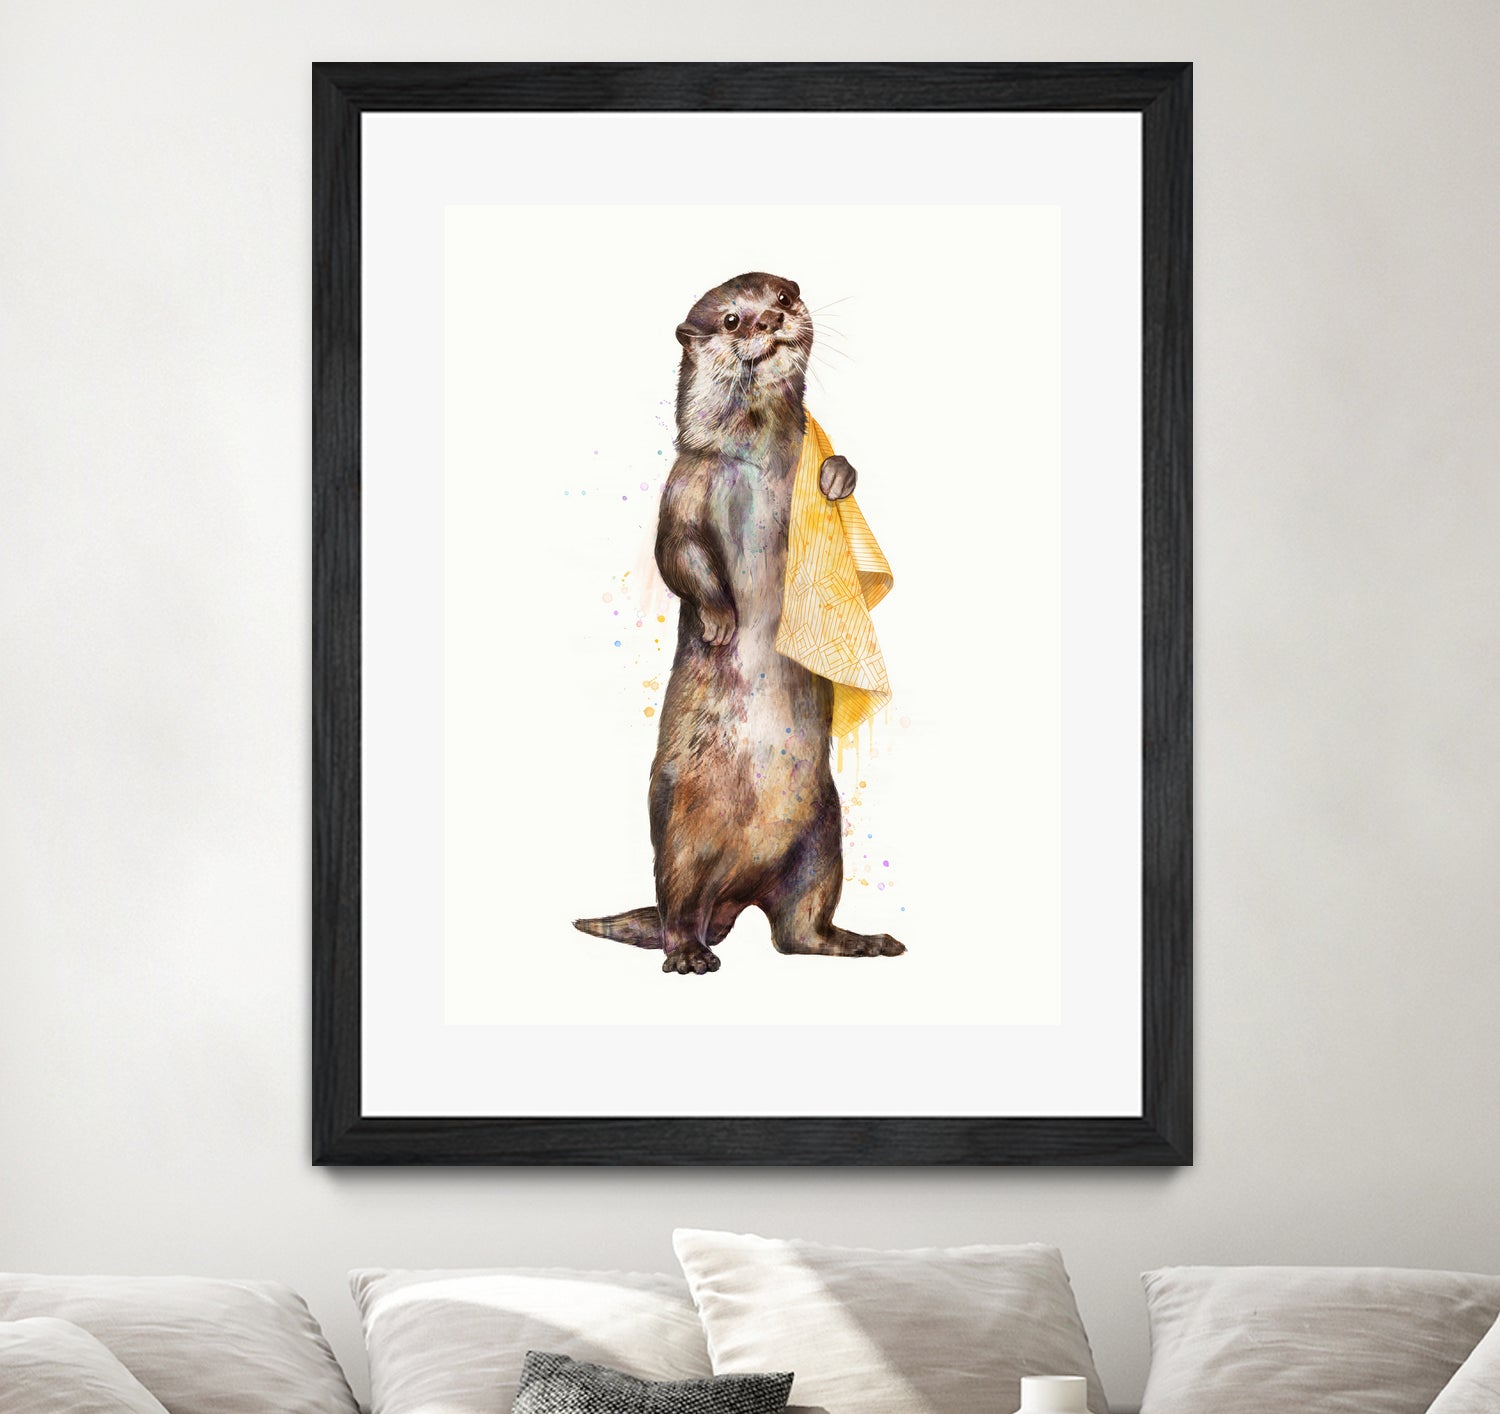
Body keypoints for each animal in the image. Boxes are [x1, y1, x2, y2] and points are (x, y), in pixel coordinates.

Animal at [575, 272, 904, 975]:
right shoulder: (685, 484)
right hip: (679, 832)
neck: (755, 460)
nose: (770, 320)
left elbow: (842, 475)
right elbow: (678, 555)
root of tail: (737, 891)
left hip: (823, 843)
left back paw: (863, 942)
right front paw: (722, 620)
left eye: (784, 295)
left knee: (799, 932)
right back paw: (689, 956)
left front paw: (837, 474)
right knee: (679, 906)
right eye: (731, 319)